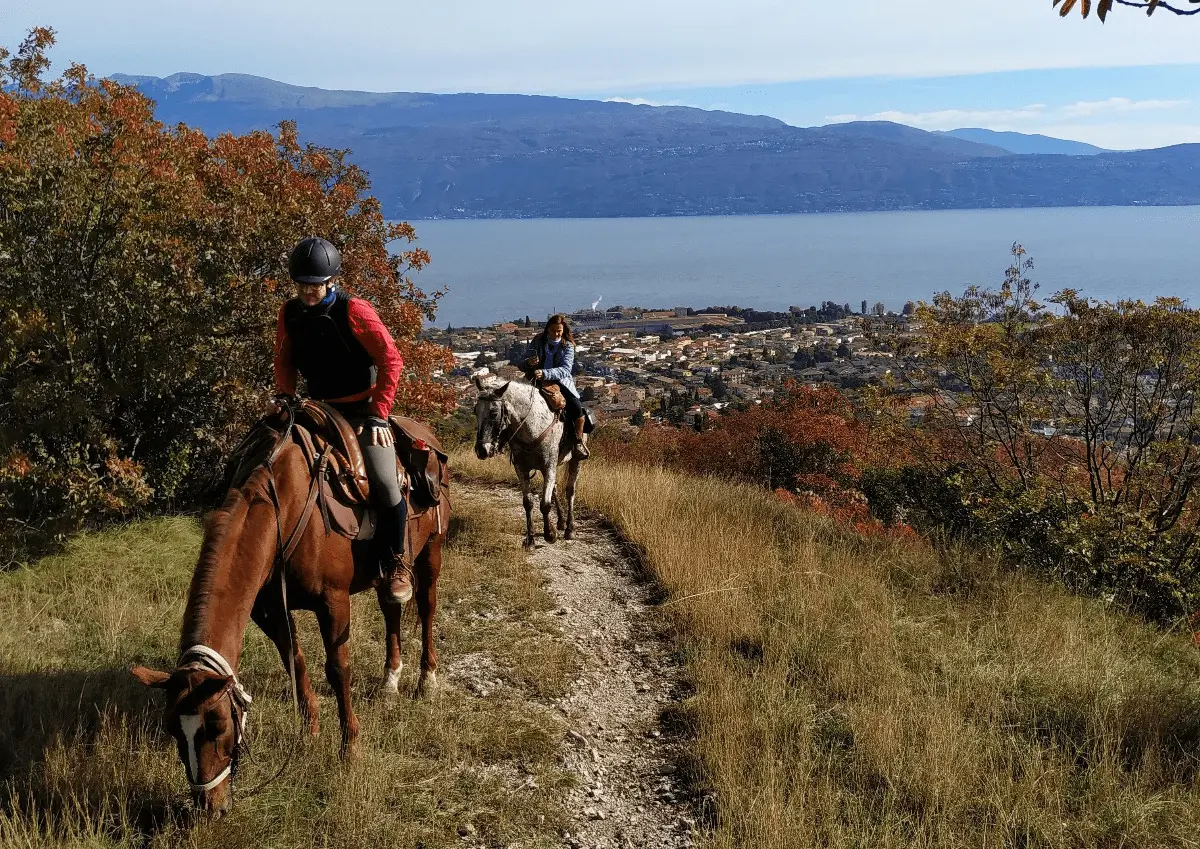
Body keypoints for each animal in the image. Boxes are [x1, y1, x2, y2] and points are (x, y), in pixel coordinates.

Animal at [130, 403, 450, 816]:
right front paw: (309, 732)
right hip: (385, 574)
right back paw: (390, 681)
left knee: (426, 609)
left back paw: (426, 679)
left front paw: (350, 748)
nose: (209, 807)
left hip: (431, 551)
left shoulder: (333, 601)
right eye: (172, 728)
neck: (284, 503)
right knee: (391, 610)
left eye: (218, 725)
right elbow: (294, 662)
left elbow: (338, 670)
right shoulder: (269, 609)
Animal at [473, 375, 582, 548]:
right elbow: (528, 502)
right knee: (555, 488)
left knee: (570, 490)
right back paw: (560, 521)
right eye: (475, 411)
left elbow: (545, 504)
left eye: (494, 413)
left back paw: (569, 528)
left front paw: (550, 534)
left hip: (575, 461)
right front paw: (530, 539)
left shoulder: (548, 467)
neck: (532, 426)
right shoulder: (521, 468)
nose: (482, 450)